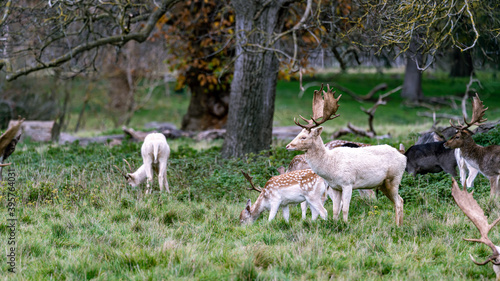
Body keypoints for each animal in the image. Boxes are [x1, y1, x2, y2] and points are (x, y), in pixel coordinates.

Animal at [286, 83, 406, 225]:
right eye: (298, 133)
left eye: (304, 137)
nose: (288, 146)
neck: (330, 165)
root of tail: (403, 155)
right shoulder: (335, 187)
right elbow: (335, 209)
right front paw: (335, 223)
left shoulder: (348, 183)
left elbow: (345, 208)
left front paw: (346, 224)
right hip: (382, 184)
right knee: (400, 200)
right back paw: (398, 225)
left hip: (394, 179)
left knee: (398, 202)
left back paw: (397, 226)